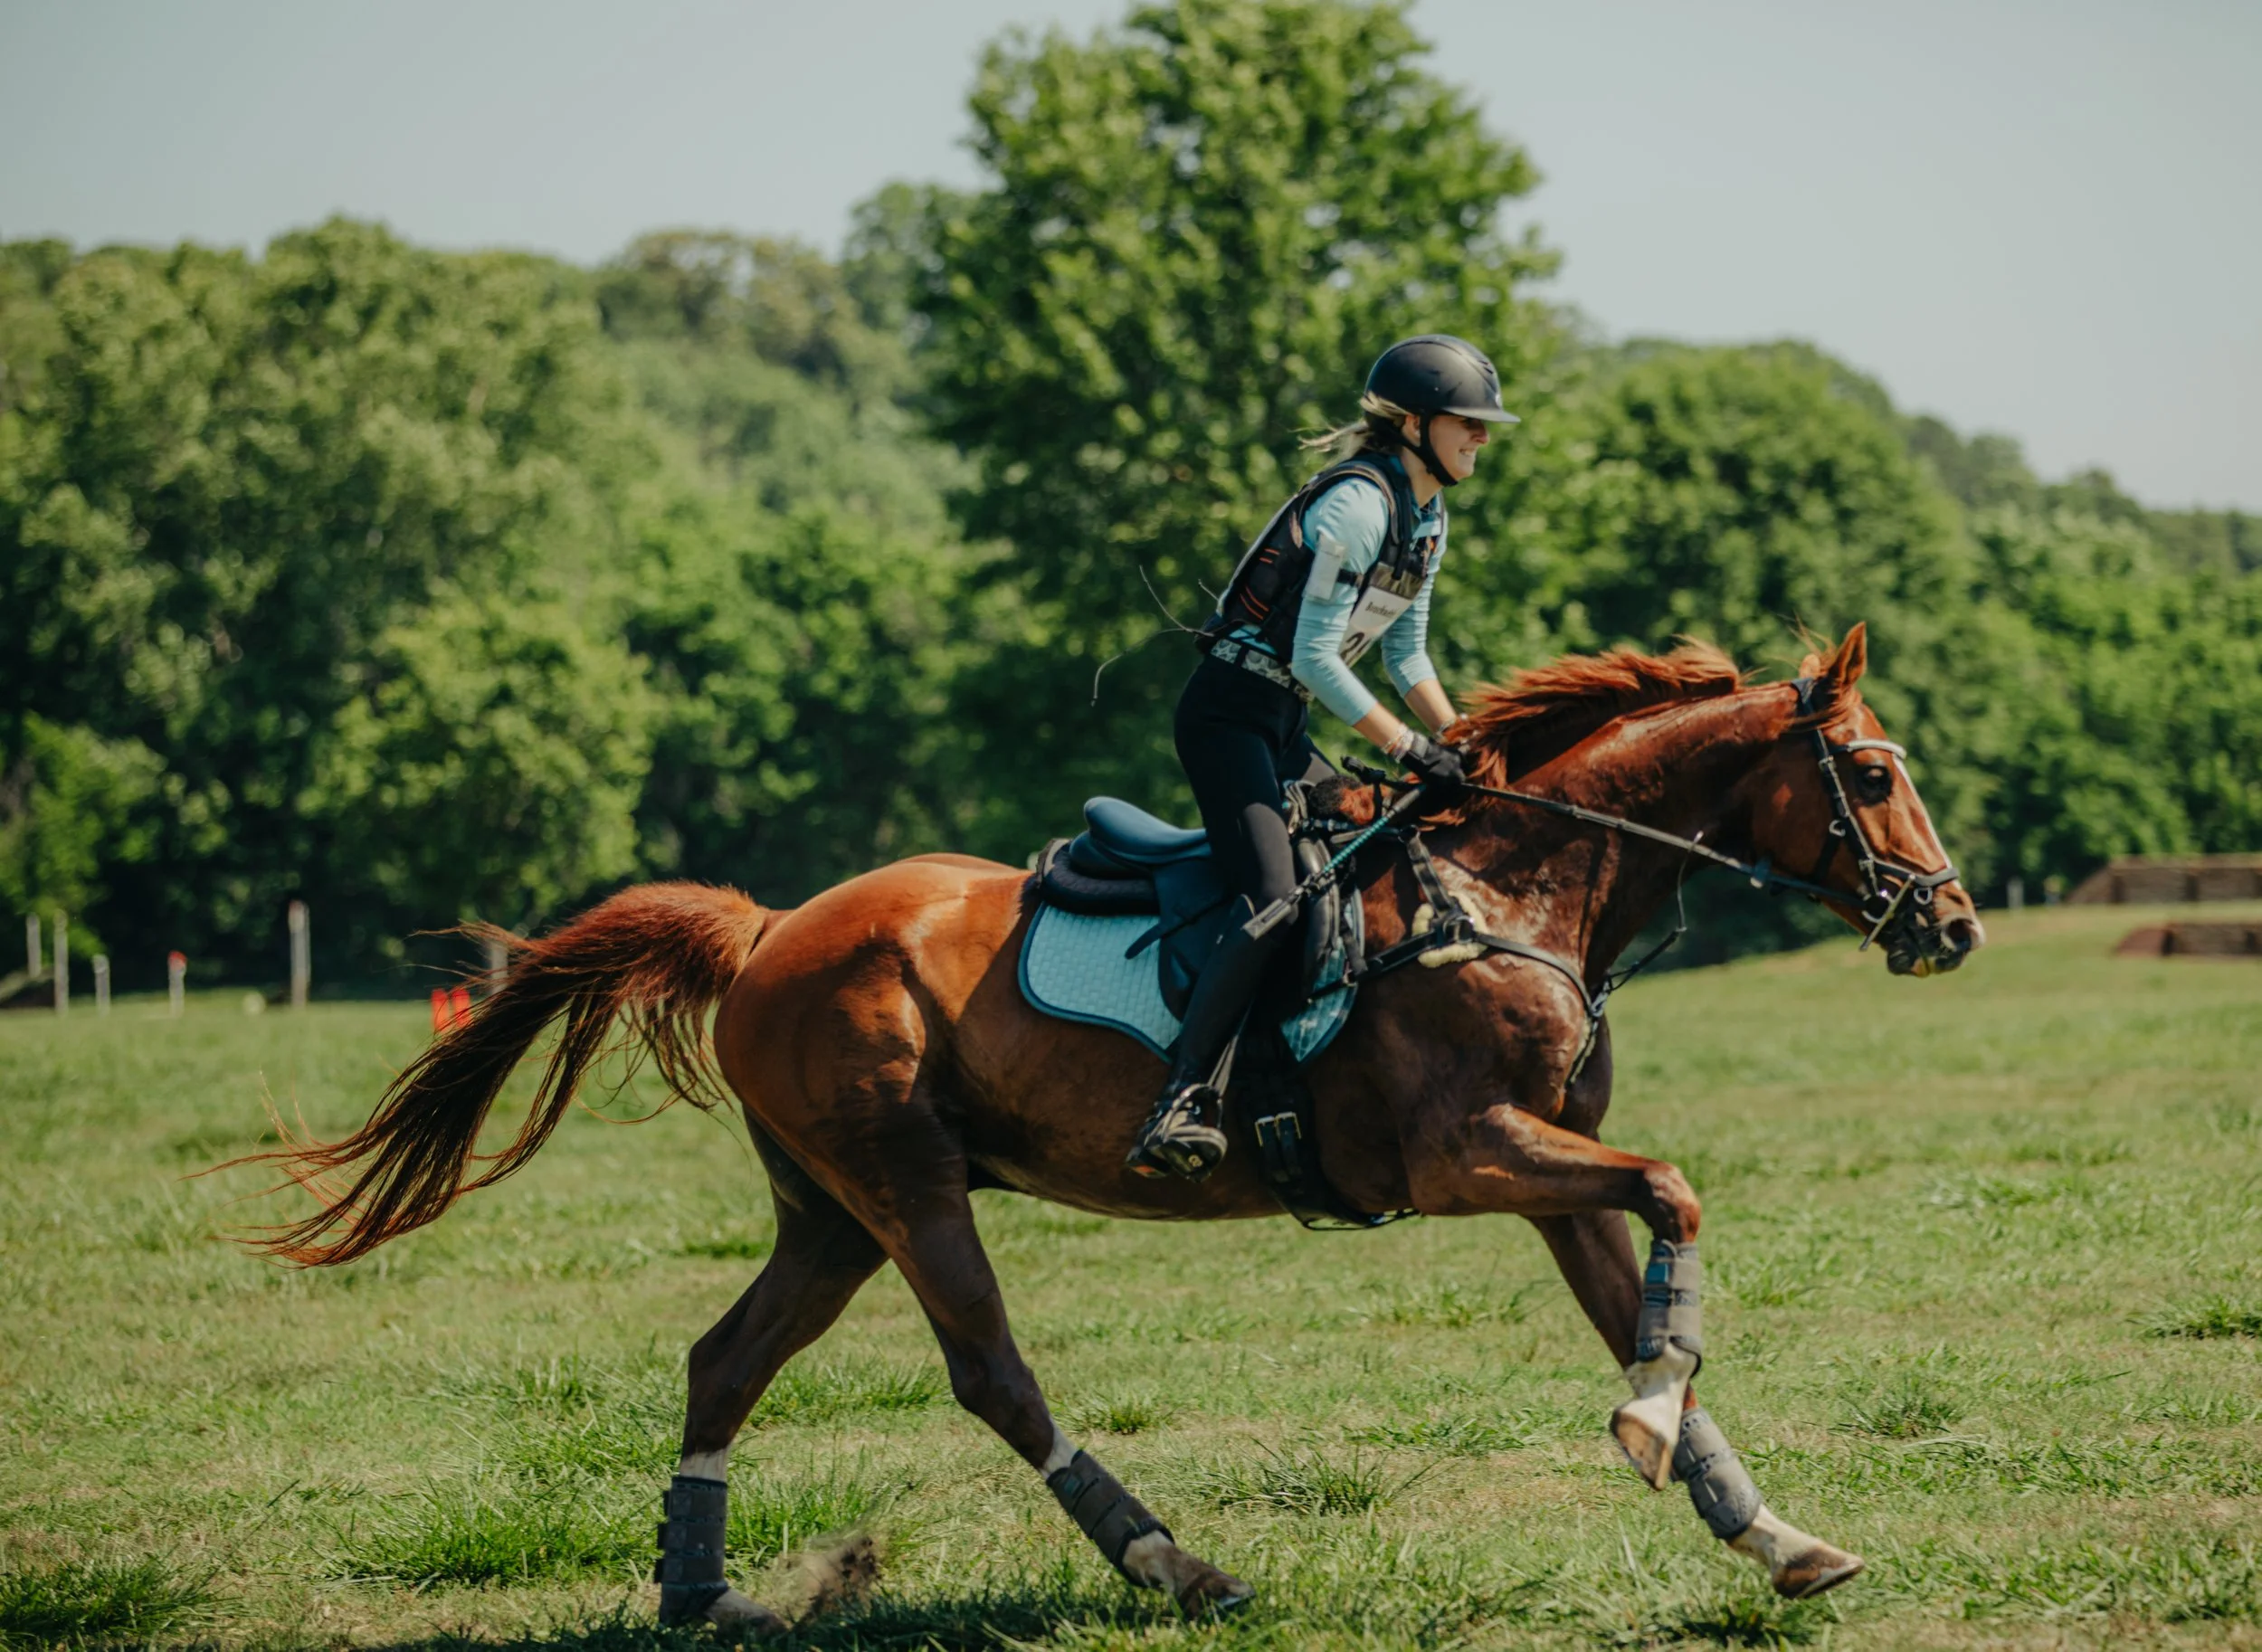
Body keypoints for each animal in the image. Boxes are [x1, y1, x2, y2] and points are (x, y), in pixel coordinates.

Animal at [237, 623, 1981, 1631]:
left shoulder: (1549, 1176)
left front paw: (1768, 1527)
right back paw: (1174, 1564)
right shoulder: (1462, 1156)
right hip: (908, 1187)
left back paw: (700, 1592)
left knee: (724, 1359)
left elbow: (1647, 1298)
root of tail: (772, 926)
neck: (1510, 889)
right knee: (991, 1374)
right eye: (1872, 767)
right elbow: (1679, 1192)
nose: (1953, 926)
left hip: (830, 1211)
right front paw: (1656, 1428)